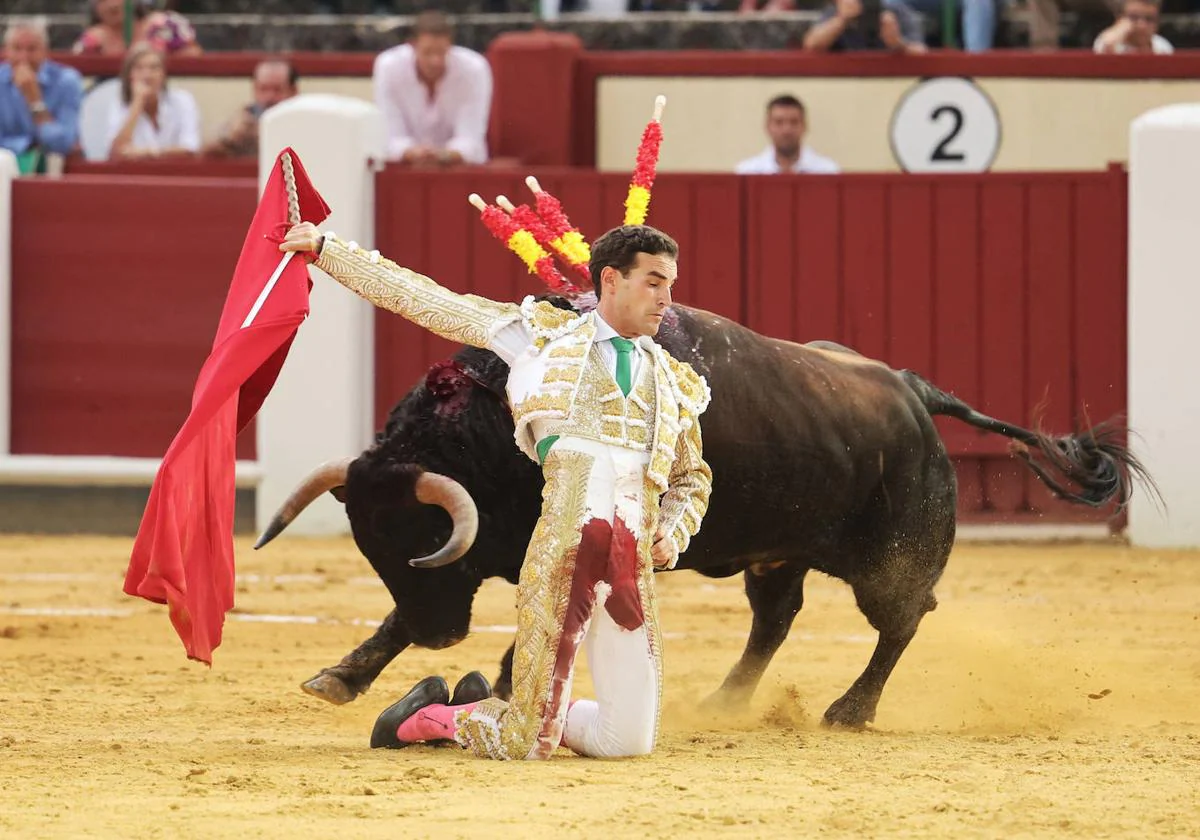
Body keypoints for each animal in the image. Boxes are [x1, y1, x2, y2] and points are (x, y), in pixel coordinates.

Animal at [255, 300, 1152, 729]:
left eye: (423, 535)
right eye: (372, 546)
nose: (440, 635)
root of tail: (910, 388)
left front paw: (509, 680)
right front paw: (341, 675)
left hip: (891, 556)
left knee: (903, 617)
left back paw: (849, 711)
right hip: (780, 549)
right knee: (776, 618)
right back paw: (727, 700)